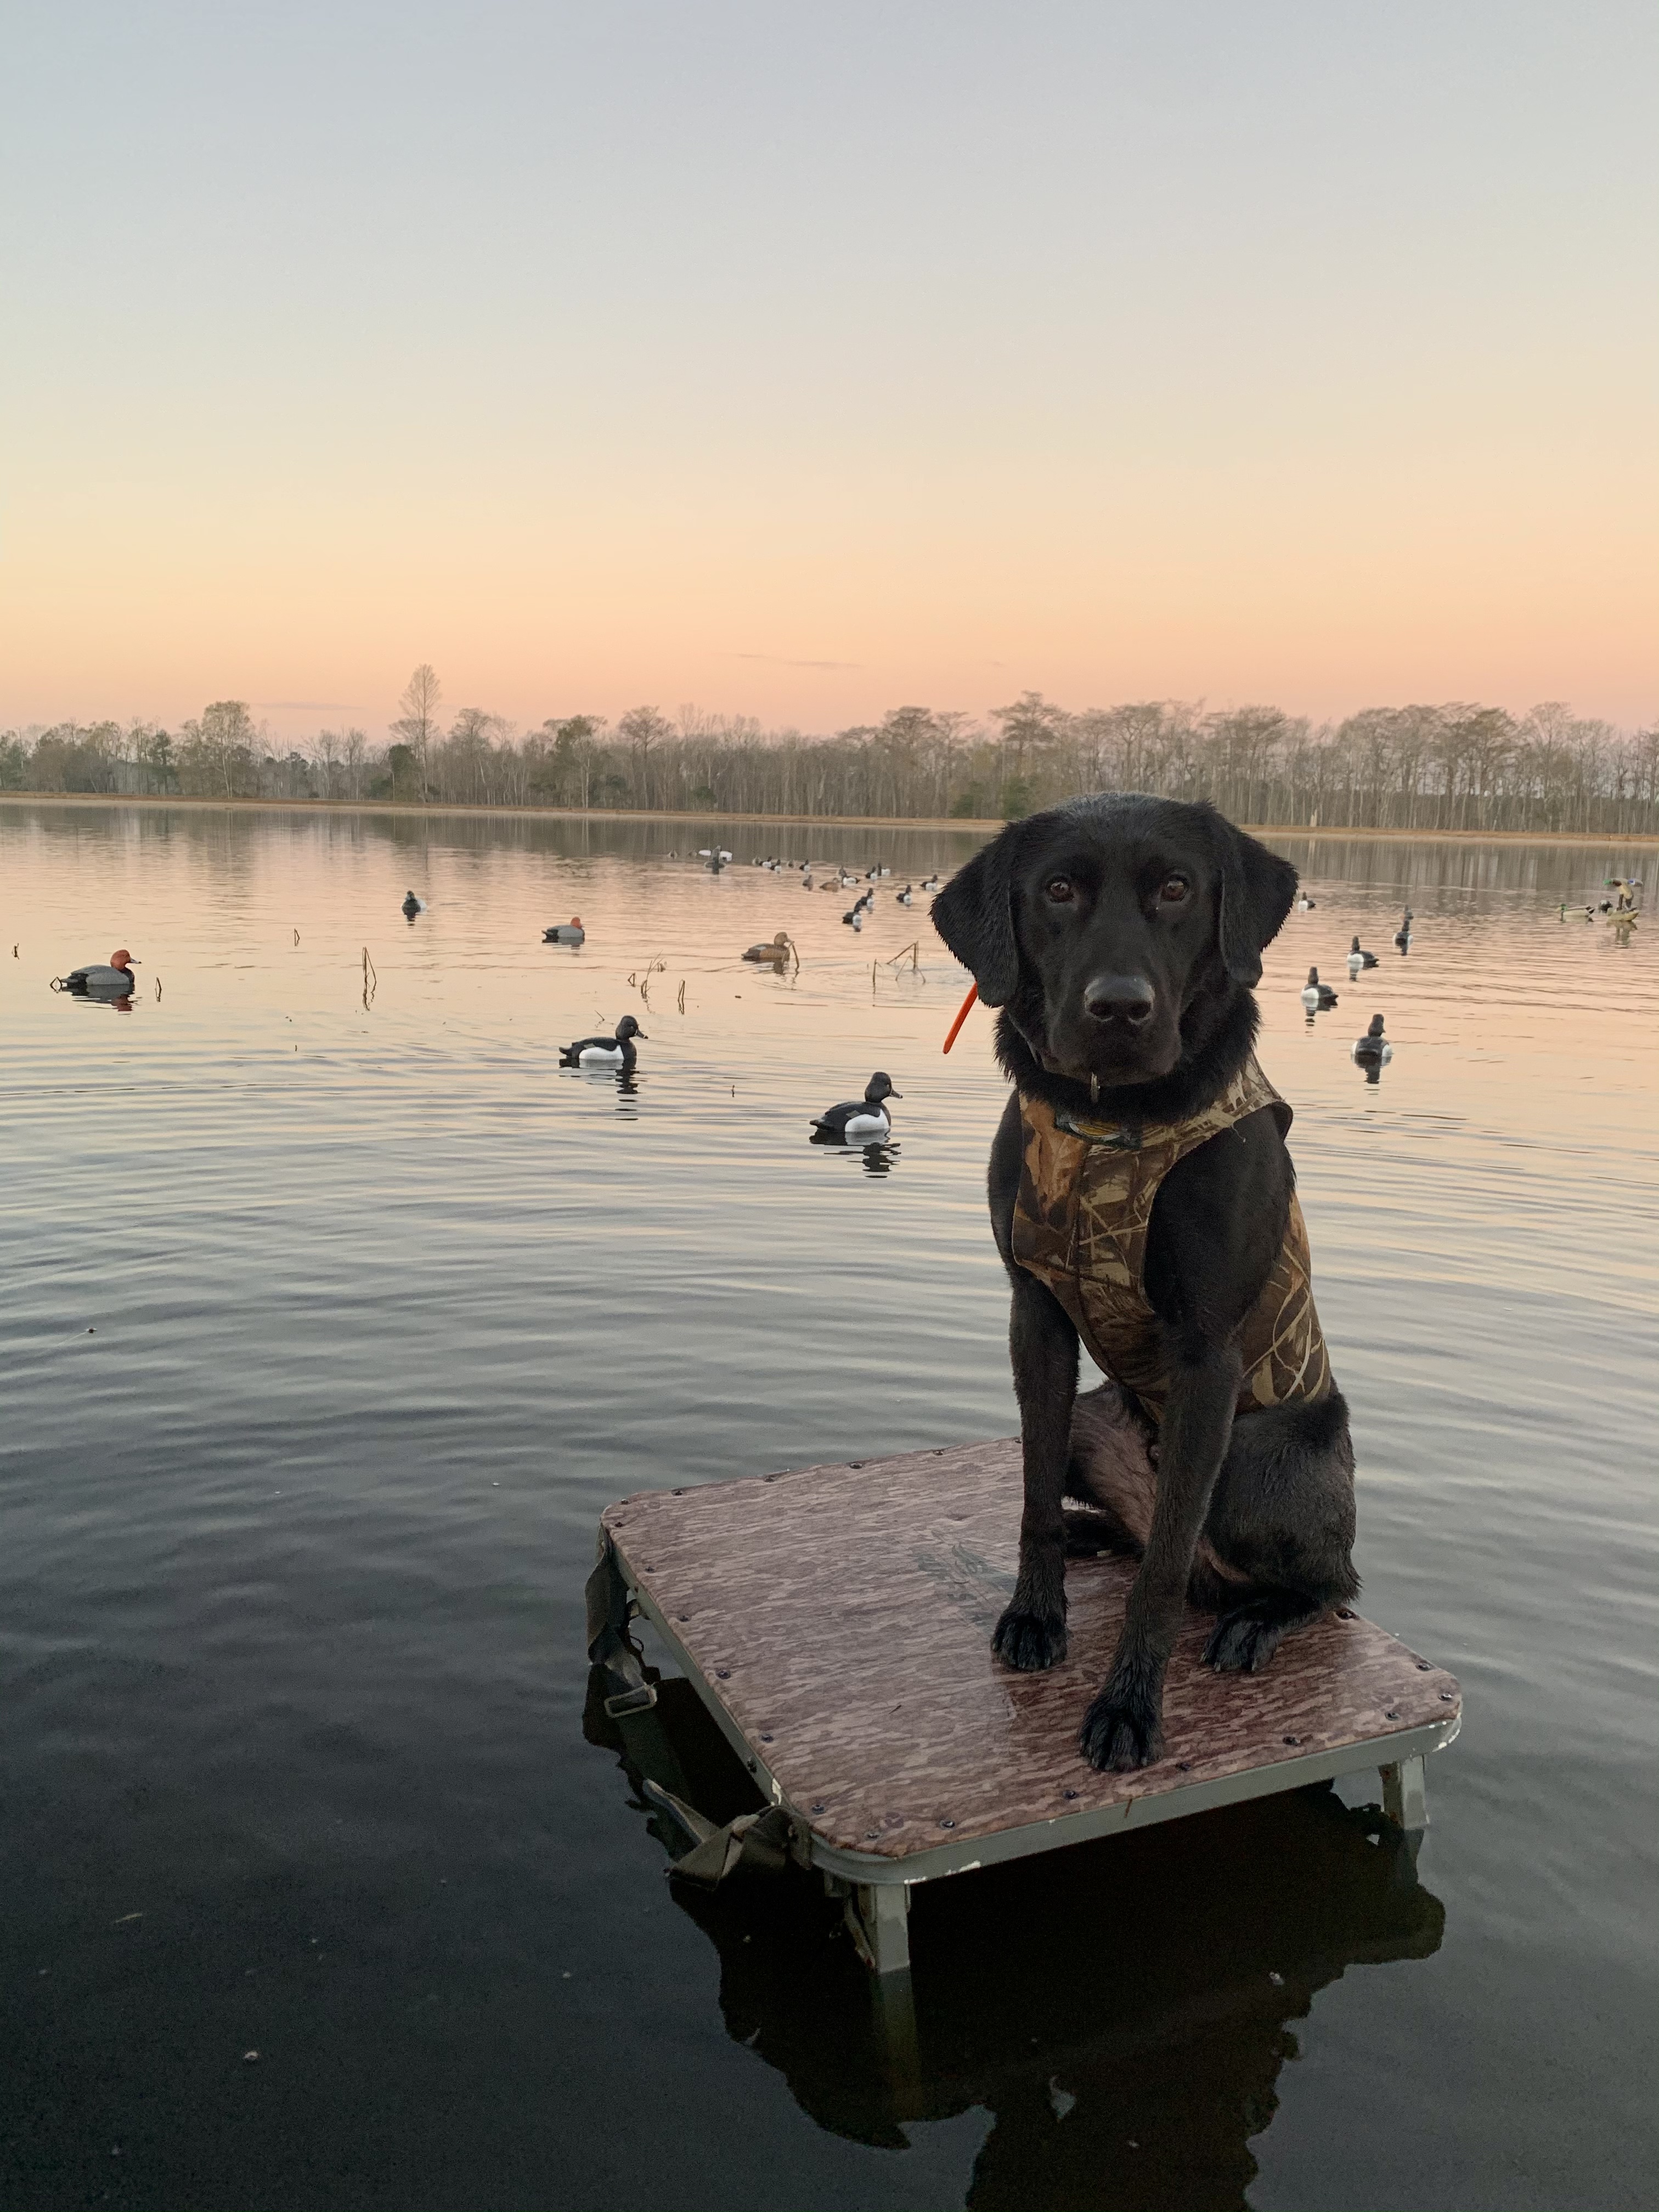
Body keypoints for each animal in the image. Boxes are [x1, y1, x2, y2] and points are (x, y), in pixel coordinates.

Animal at [938, 796, 1362, 1778]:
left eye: (1176, 889)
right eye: (1058, 890)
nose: (1119, 1009)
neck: (1111, 1121)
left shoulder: (1207, 1352)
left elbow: (1163, 1569)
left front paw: (1128, 1707)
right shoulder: (1036, 1313)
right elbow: (1032, 1493)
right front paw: (1035, 1612)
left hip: (1258, 1462)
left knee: (1324, 1582)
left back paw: (1257, 1620)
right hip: (1097, 1422)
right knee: (1112, 1515)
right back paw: (1097, 1534)